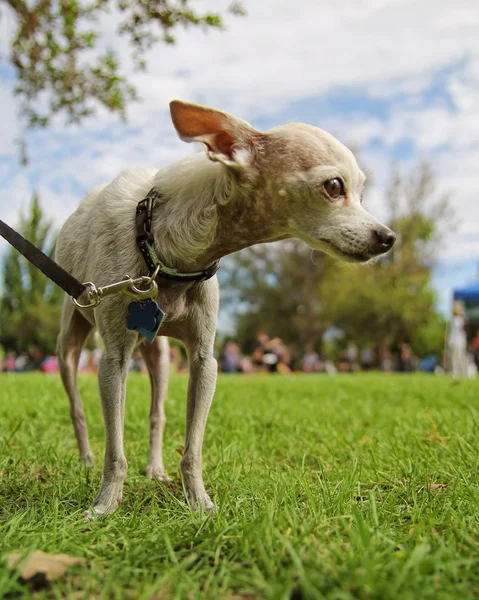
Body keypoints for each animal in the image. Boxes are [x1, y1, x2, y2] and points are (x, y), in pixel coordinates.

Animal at [55, 99, 398, 516]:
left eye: (362, 194)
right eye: (334, 187)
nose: (388, 237)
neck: (165, 255)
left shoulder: (205, 361)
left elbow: (193, 448)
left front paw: (199, 502)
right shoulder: (113, 360)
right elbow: (115, 450)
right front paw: (105, 504)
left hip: (161, 357)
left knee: (157, 414)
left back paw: (155, 469)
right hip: (70, 347)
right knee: (77, 409)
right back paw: (85, 460)